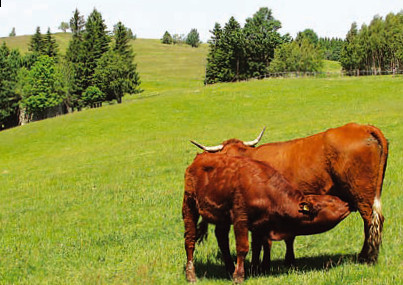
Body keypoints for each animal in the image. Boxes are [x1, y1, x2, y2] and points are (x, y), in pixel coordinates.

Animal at [183, 152, 350, 280]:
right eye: (330, 201)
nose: (347, 204)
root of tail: (200, 157)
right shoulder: (241, 219)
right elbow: (243, 247)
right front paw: (239, 276)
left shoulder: (259, 224)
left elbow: (257, 246)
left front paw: (255, 270)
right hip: (189, 206)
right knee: (190, 240)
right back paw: (191, 274)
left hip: (221, 217)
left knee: (222, 239)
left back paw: (229, 268)